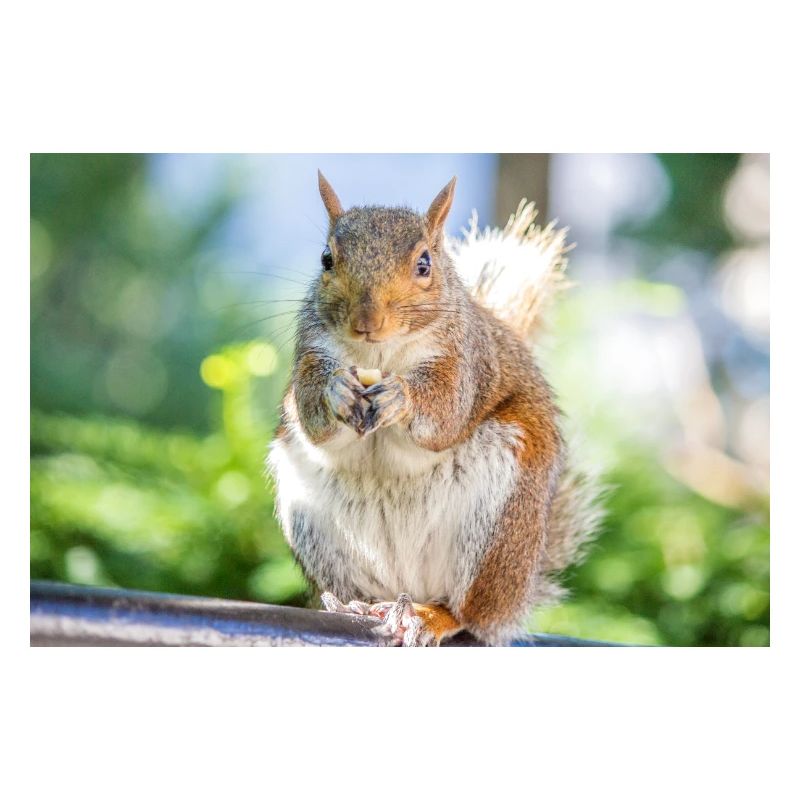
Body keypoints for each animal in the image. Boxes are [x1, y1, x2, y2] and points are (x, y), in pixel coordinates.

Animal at [267, 171, 601, 646]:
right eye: (327, 259)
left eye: (424, 264)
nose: (367, 323)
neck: (381, 355)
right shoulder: (311, 352)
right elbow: (314, 419)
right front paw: (336, 390)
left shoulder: (466, 363)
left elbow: (445, 413)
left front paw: (401, 396)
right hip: (317, 529)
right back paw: (357, 605)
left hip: (498, 531)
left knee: (468, 611)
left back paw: (429, 616)